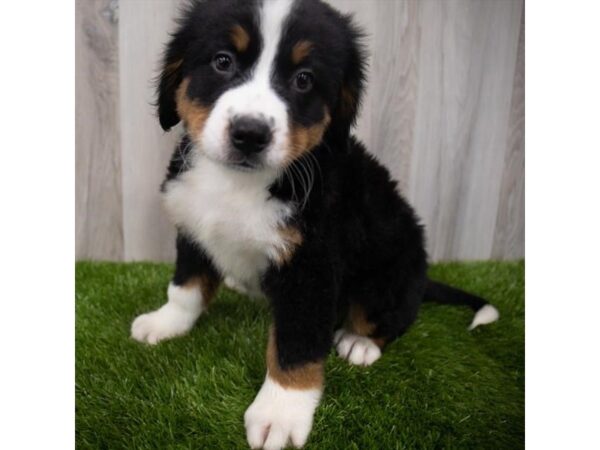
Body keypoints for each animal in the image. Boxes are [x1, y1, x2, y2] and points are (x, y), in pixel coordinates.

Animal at [131, 1, 502, 448]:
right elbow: (186, 288)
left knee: (393, 315)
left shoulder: (311, 267)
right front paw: (166, 322)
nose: (250, 133)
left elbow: (296, 345)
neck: (238, 185)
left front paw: (279, 413)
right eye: (222, 61)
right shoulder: (193, 227)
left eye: (303, 79)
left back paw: (360, 341)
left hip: (392, 268)